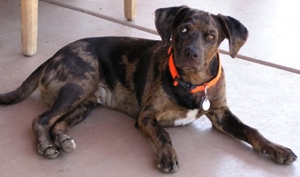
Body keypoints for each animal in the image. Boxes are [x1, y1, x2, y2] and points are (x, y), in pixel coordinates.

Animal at [0, 5, 296, 173]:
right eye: (183, 30)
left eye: (212, 36)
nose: (190, 54)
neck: (192, 83)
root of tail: (55, 55)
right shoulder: (147, 116)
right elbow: (164, 134)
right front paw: (168, 156)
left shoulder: (221, 113)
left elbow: (251, 130)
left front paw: (277, 149)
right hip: (80, 83)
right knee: (41, 119)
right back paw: (46, 145)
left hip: (86, 101)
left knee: (58, 123)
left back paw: (60, 139)